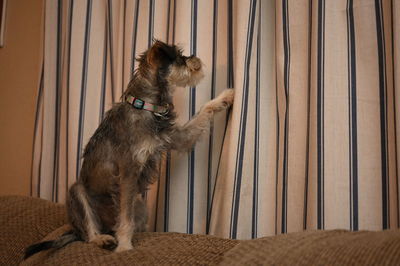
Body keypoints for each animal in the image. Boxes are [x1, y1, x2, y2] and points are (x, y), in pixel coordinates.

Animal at [24, 39, 234, 258]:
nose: (195, 58)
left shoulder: (178, 138)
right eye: (178, 57)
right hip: (78, 192)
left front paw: (226, 95)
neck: (147, 106)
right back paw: (103, 239)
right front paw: (125, 247)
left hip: (140, 204)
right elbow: (125, 217)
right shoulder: (128, 171)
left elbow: (202, 114)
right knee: (89, 232)